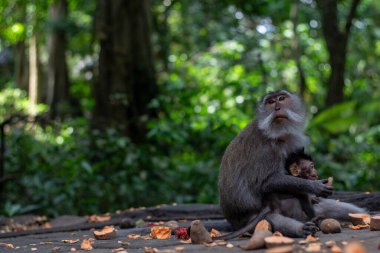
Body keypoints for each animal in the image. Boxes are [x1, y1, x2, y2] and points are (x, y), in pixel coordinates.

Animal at [218, 90, 364, 238]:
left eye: (281, 98)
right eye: (271, 102)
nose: (277, 107)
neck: (277, 134)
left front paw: (314, 197)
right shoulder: (266, 149)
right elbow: (267, 182)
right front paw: (313, 186)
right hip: (252, 219)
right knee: (272, 219)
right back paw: (302, 229)